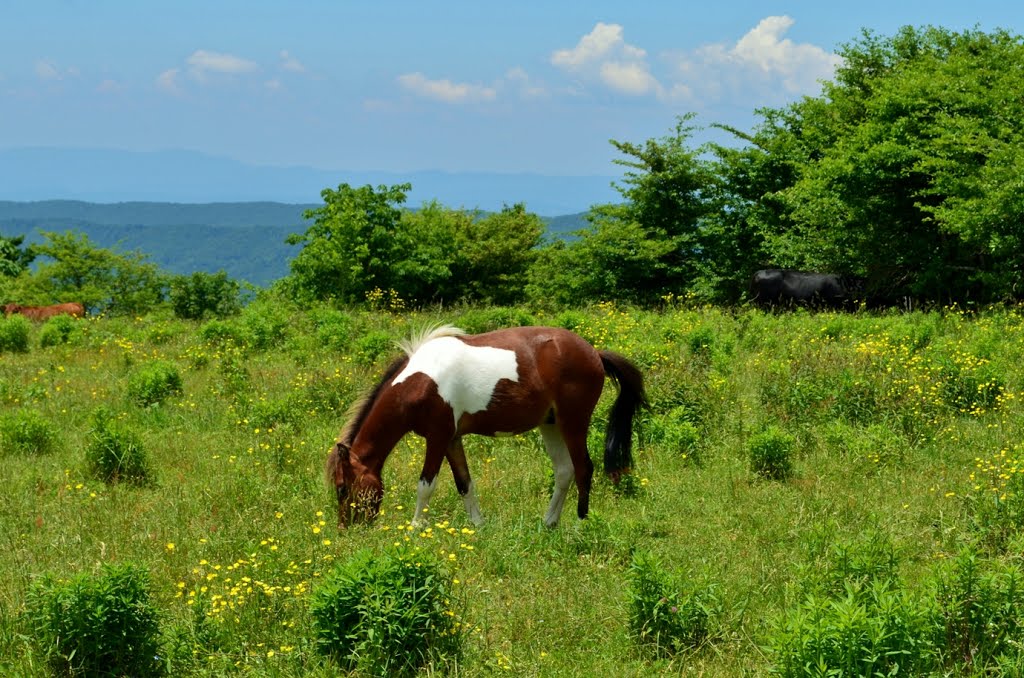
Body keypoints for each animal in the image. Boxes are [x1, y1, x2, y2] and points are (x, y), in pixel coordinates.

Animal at [325, 325, 647, 532]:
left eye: (342, 488)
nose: (345, 529)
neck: (421, 382)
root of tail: (594, 352)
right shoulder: (452, 439)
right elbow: (465, 483)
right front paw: (478, 525)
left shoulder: (437, 438)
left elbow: (426, 485)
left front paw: (416, 529)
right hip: (551, 425)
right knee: (565, 472)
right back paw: (549, 523)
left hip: (573, 423)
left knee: (583, 469)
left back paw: (580, 525)